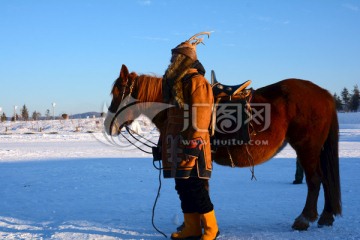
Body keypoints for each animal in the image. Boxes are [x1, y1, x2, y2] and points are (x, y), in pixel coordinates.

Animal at [105, 63, 342, 231]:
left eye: (118, 92)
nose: (109, 125)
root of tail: (324, 93)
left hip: (307, 147)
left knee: (315, 180)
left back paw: (304, 219)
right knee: (325, 179)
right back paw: (326, 216)